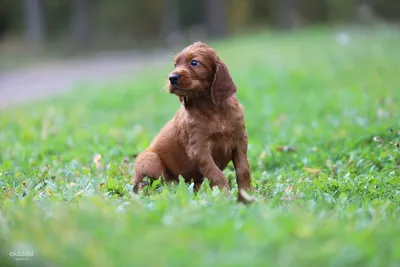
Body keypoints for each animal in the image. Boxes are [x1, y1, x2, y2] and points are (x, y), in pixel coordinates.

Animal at [133, 42, 252, 202]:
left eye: (194, 62)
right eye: (175, 64)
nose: (172, 77)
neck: (213, 109)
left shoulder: (240, 141)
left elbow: (243, 170)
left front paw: (246, 196)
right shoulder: (199, 149)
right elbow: (216, 174)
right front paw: (225, 197)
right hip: (148, 159)